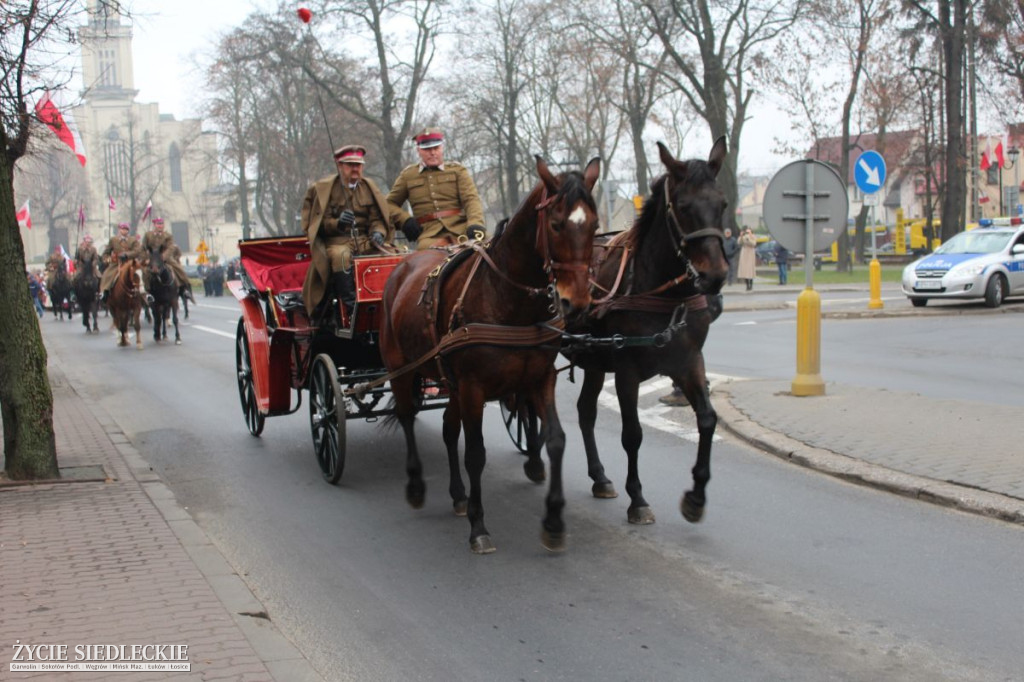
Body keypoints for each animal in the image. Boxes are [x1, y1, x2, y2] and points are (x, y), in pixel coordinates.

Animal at [382, 155, 598, 552]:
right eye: (556, 224)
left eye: (594, 225)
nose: (575, 302)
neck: (507, 298)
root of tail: (402, 267)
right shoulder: (473, 387)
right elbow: (475, 453)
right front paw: (478, 526)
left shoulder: (539, 379)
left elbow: (555, 440)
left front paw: (554, 521)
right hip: (402, 368)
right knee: (407, 416)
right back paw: (417, 485)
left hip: (450, 382)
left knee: (448, 428)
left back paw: (457, 494)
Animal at [561, 137, 729, 520]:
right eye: (683, 205)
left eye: (723, 203)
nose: (715, 276)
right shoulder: (626, 371)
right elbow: (632, 434)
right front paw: (637, 498)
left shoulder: (688, 362)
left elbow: (707, 419)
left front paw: (696, 496)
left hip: (594, 363)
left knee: (585, 411)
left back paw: (599, 477)